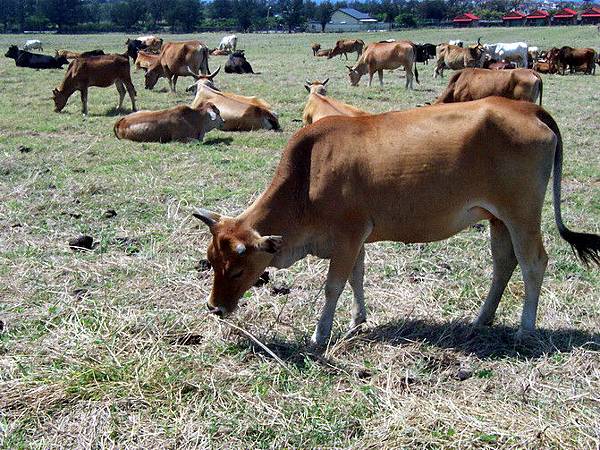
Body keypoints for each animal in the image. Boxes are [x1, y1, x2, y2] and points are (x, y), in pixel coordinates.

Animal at [193, 96, 600, 346]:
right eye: (211, 262)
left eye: (237, 269)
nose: (214, 308)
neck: (307, 175)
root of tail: (528, 108)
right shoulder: (355, 240)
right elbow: (356, 279)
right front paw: (357, 320)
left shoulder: (348, 236)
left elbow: (333, 286)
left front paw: (320, 334)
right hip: (498, 218)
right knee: (504, 263)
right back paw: (481, 319)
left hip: (521, 213)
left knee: (533, 263)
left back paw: (525, 329)